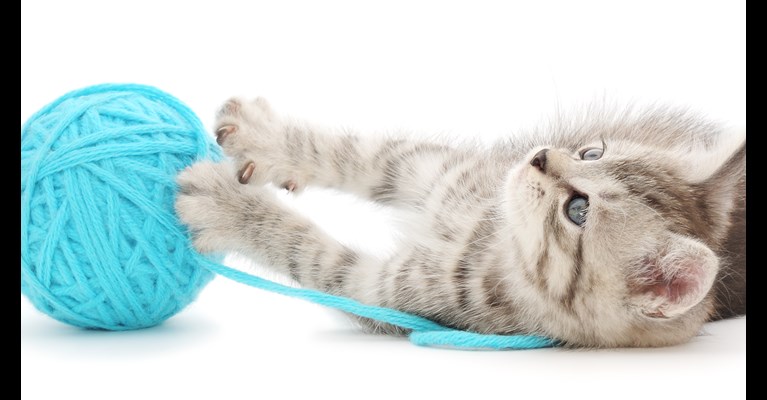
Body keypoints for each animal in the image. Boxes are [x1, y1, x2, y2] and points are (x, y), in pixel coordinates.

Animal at [177, 97, 748, 346]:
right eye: (592, 150)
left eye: (578, 210)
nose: (539, 156)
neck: (494, 236)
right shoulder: (432, 168)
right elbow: (360, 154)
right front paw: (266, 137)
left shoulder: (380, 292)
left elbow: (304, 247)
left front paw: (224, 203)